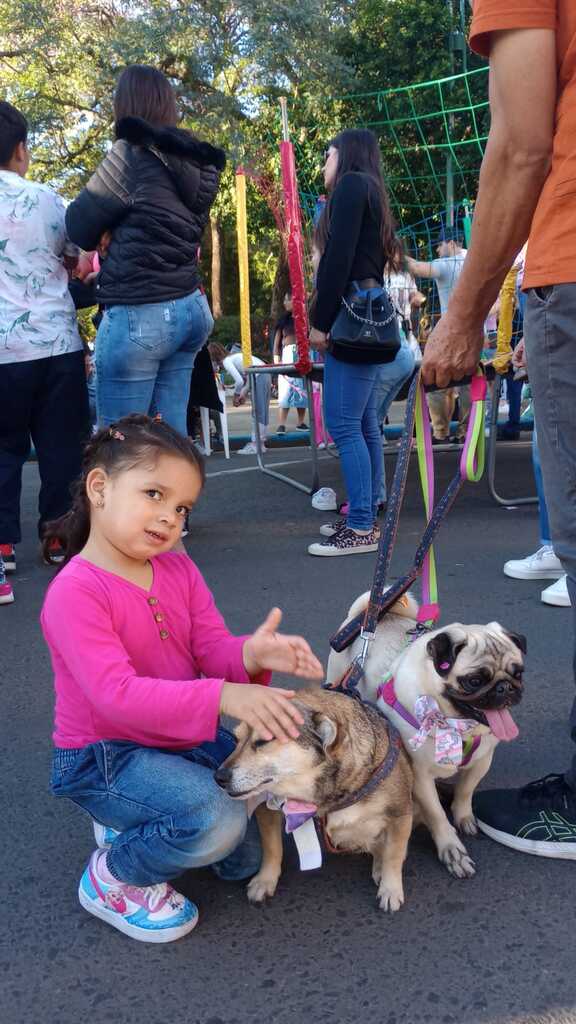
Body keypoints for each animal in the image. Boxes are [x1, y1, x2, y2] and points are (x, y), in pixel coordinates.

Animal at [325, 598, 522, 880]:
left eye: (518, 673)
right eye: (474, 681)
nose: (505, 687)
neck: (457, 726)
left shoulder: (482, 761)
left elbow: (466, 789)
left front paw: (463, 815)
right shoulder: (420, 776)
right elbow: (437, 814)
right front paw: (452, 850)